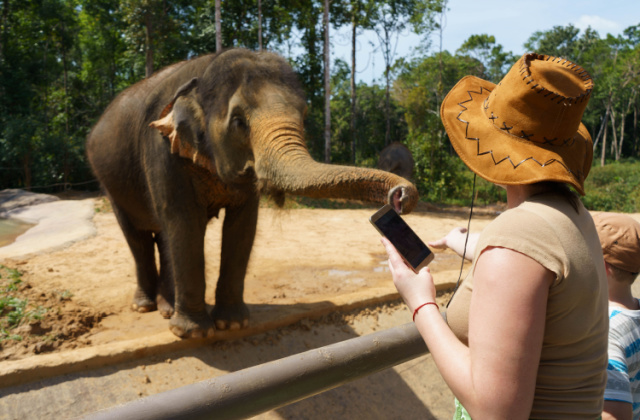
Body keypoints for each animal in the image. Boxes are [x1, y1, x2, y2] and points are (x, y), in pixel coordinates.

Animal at [87, 48, 420, 338]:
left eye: (303, 115)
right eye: (238, 122)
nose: (401, 195)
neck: (203, 71)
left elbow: (243, 227)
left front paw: (232, 324)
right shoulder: (162, 151)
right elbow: (184, 223)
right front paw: (195, 333)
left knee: (162, 236)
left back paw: (166, 309)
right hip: (109, 183)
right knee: (141, 237)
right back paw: (146, 307)